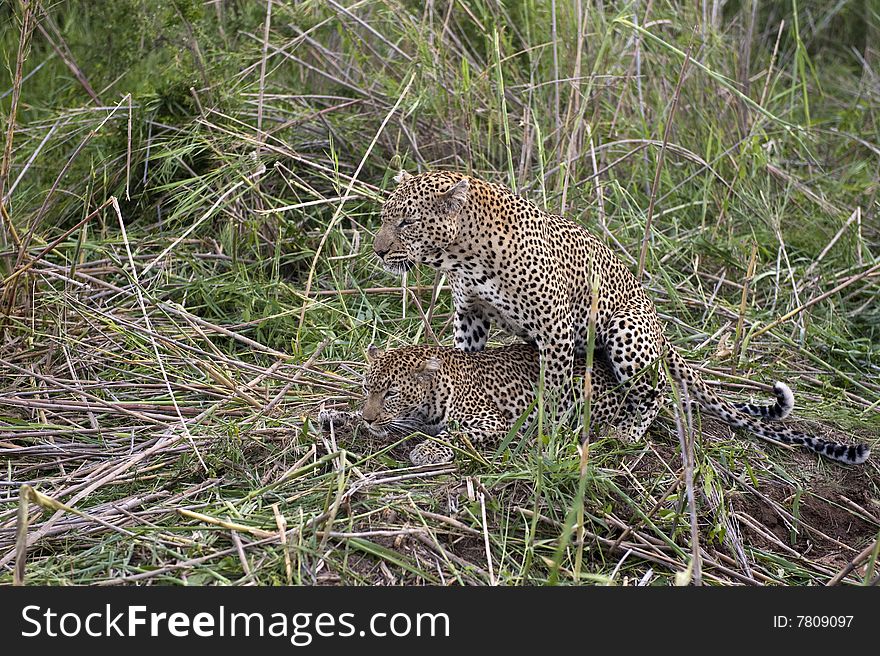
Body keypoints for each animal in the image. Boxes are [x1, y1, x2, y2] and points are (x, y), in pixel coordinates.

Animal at [318, 340, 796, 464]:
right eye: (367, 387)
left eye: (393, 393)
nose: (370, 414)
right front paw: (336, 415)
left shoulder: (492, 422)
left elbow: (453, 435)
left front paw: (427, 450)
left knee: (659, 397)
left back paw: (624, 432)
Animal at [370, 170, 868, 466]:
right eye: (384, 216)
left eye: (408, 222)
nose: (377, 250)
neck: (462, 253)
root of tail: (662, 330)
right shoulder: (470, 312)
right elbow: (464, 358)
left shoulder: (554, 325)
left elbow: (554, 387)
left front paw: (547, 431)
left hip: (623, 331)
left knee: (659, 392)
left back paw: (625, 433)